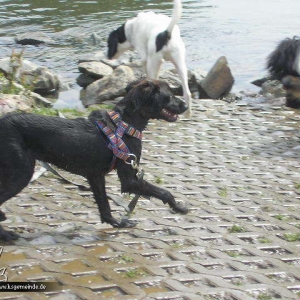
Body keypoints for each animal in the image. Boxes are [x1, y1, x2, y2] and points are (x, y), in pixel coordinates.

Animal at [0, 78, 188, 240]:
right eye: (170, 95)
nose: (186, 105)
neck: (125, 124)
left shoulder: (96, 177)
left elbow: (104, 204)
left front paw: (116, 223)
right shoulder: (129, 180)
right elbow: (164, 192)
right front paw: (179, 207)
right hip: (21, 173)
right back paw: (7, 235)